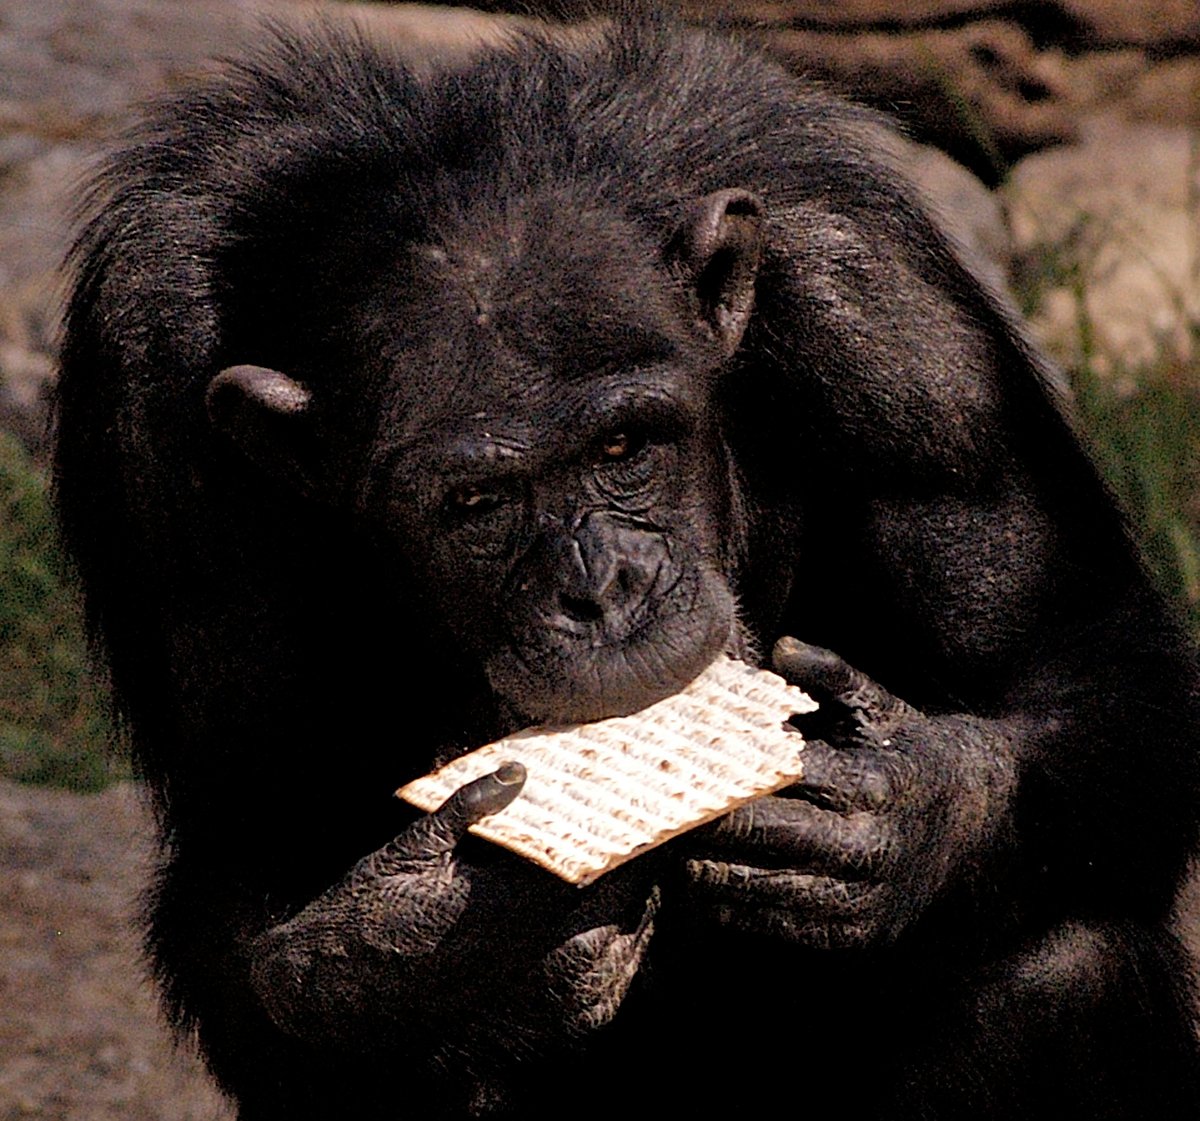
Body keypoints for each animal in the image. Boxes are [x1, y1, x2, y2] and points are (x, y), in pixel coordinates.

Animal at [54, 10, 1200, 1121]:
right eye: (473, 503)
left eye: (623, 445)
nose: (599, 588)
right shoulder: (156, 414)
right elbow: (252, 838)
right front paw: (431, 938)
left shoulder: (888, 318)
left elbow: (1073, 654)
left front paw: (910, 813)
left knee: (1056, 965)